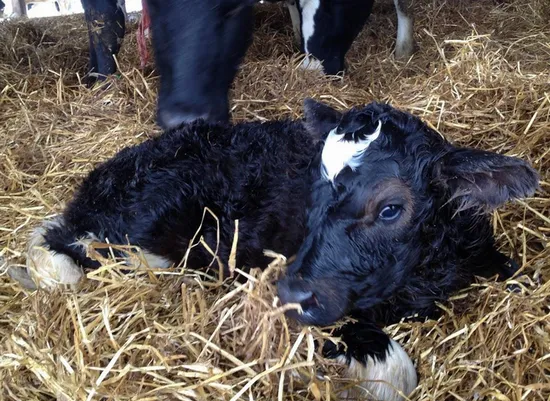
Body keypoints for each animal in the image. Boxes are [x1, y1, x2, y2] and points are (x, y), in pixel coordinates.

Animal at [11, 98, 540, 398]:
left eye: (391, 209)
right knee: (61, 244)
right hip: (148, 207)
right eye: (314, 188)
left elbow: (522, 275)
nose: (293, 293)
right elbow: (396, 374)